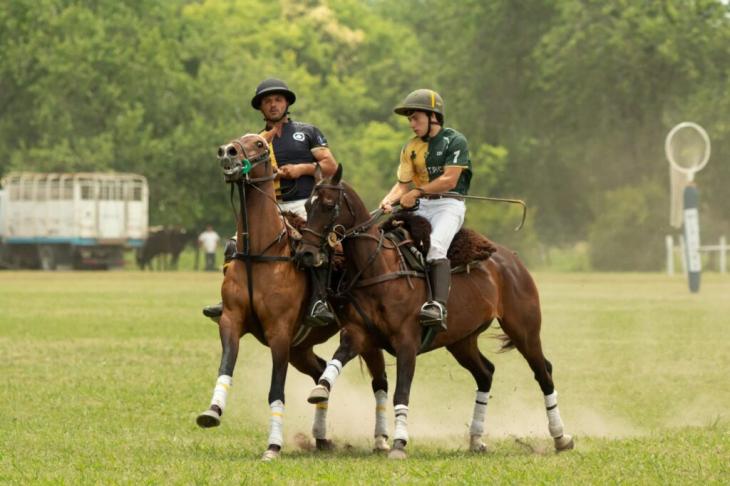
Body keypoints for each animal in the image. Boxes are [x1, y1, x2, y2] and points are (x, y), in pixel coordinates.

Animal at [196, 131, 390, 461]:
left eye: (259, 144)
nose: (227, 152)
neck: (259, 253)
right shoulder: (232, 321)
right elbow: (225, 366)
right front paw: (212, 411)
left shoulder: (280, 332)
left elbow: (276, 389)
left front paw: (273, 446)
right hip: (301, 348)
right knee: (321, 370)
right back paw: (322, 437)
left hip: (361, 336)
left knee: (380, 379)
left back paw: (381, 440)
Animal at [294, 165, 573, 459]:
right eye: (307, 205)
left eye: (328, 205)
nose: (306, 253)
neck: (376, 267)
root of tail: (512, 258)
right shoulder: (358, 333)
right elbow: (337, 360)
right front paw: (320, 389)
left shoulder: (406, 342)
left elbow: (401, 393)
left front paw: (399, 443)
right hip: (461, 339)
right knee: (486, 372)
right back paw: (476, 439)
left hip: (524, 328)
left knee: (543, 371)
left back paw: (561, 437)